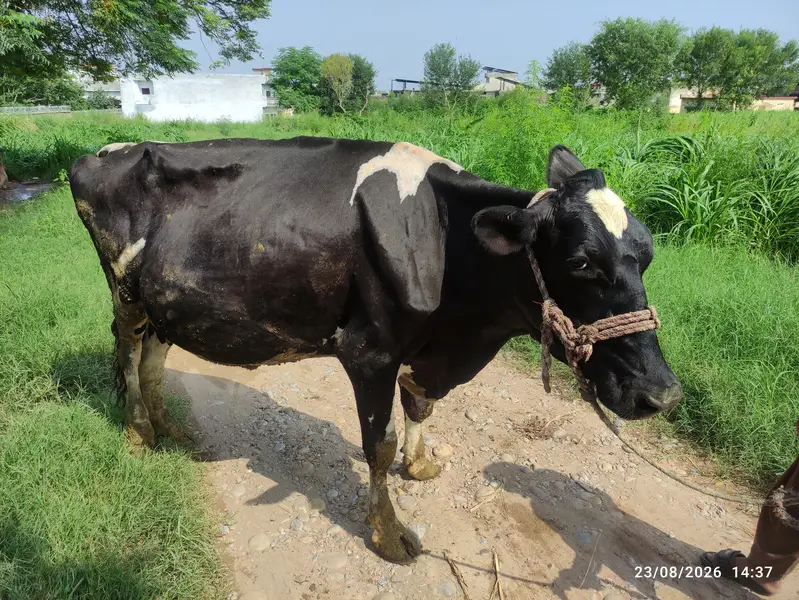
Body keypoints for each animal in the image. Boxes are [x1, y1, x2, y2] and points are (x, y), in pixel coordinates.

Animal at [69, 137, 682, 564]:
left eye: (649, 253)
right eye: (581, 262)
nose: (662, 395)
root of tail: (100, 153)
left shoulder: (426, 353)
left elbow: (421, 408)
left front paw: (422, 462)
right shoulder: (370, 351)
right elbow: (378, 446)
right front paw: (389, 535)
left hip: (168, 299)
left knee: (153, 357)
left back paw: (170, 428)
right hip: (126, 292)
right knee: (128, 350)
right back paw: (139, 433)